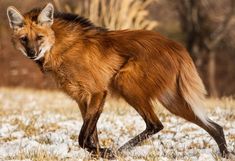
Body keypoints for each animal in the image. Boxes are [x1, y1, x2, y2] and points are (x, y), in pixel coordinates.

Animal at [6, 3, 229, 159]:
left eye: (39, 37)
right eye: (24, 39)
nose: (32, 53)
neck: (59, 47)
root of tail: (177, 46)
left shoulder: (98, 91)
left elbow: (83, 138)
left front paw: (106, 152)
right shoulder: (82, 98)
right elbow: (91, 135)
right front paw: (99, 153)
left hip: (125, 82)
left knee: (155, 125)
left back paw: (120, 151)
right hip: (171, 100)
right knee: (214, 126)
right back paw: (225, 155)